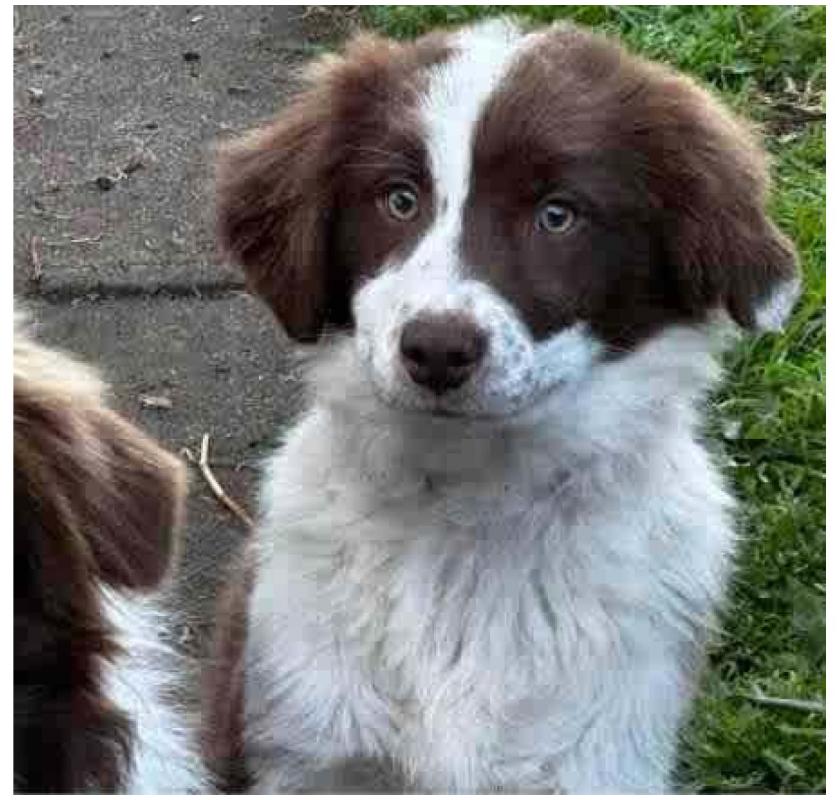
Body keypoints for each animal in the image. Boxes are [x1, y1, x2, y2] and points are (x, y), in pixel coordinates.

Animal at [203, 18, 800, 792]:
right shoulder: (307, 749)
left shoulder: (598, 761)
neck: (470, 507)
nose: (436, 350)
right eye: (398, 199)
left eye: (558, 215)